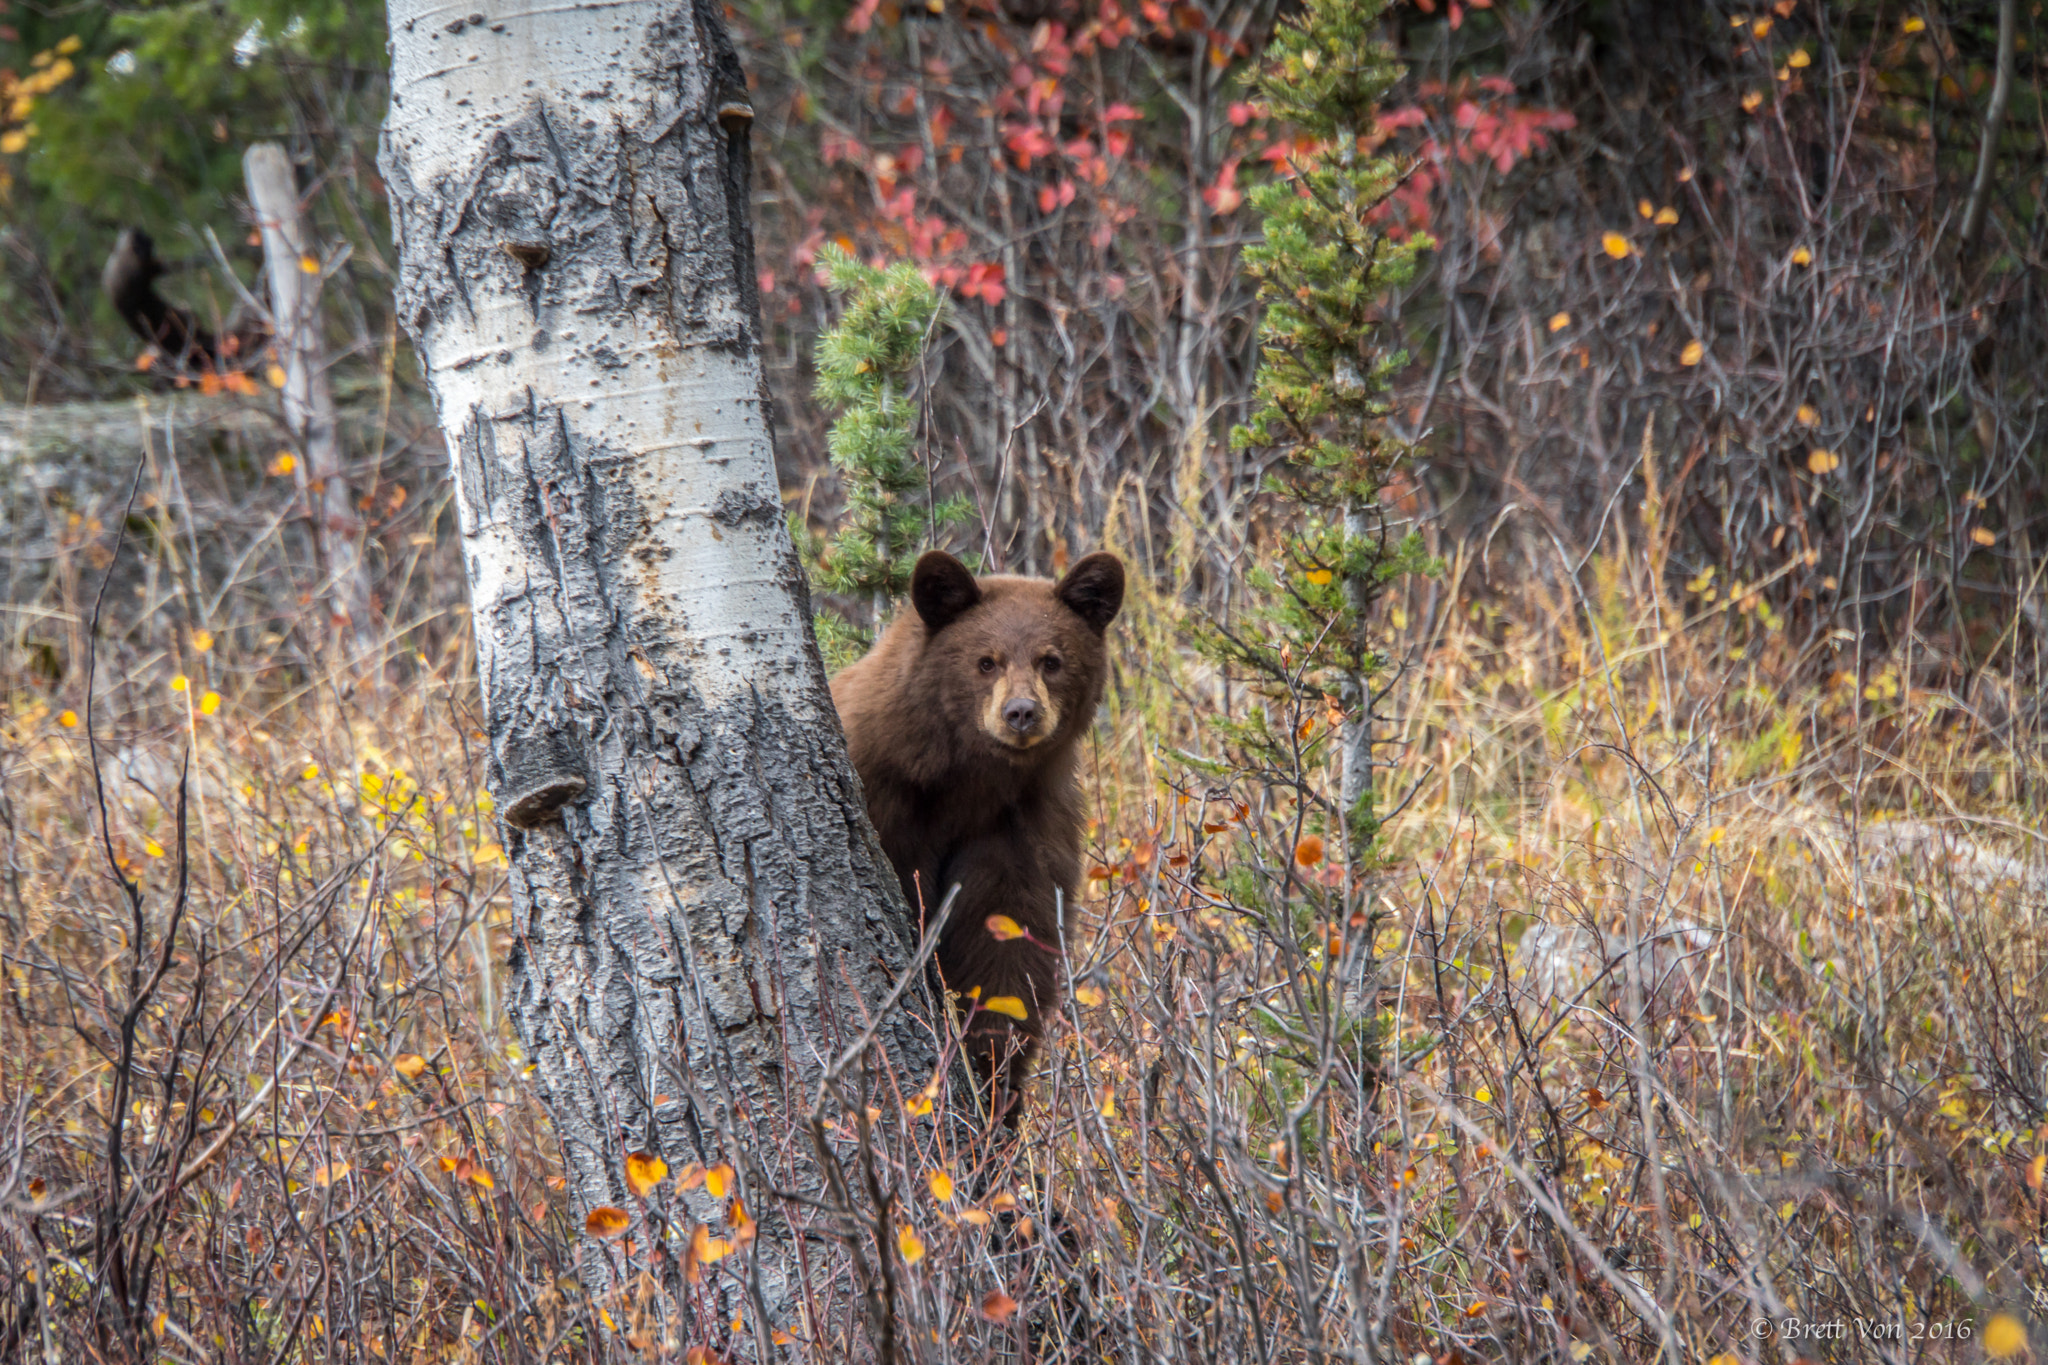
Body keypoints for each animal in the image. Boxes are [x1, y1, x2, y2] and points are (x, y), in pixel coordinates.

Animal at [827, 548, 1130, 1129]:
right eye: (985, 661)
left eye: (1051, 660)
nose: (1021, 713)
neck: (966, 784)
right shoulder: (882, 792)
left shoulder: (1019, 831)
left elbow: (1005, 959)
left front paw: (993, 1087)